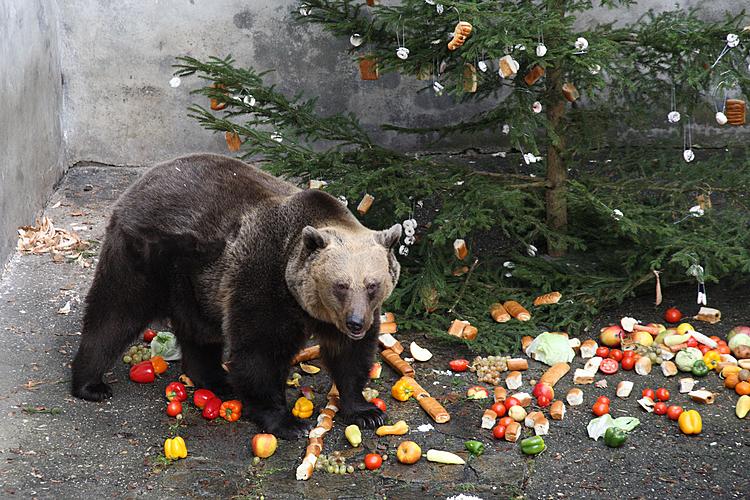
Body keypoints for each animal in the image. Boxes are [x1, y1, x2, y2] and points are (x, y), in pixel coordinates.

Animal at [72, 153, 402, 438]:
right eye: (340, 285)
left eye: (372, 285)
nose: (356, 323)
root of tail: (138, 183)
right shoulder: (264, 280)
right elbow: (260, 352)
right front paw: (288, 422)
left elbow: (350, 356)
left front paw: (366, 411)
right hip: (147, 256)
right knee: (115, 313)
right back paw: (91, 384)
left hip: (195, 279)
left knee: (199, 332)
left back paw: (216, 379)